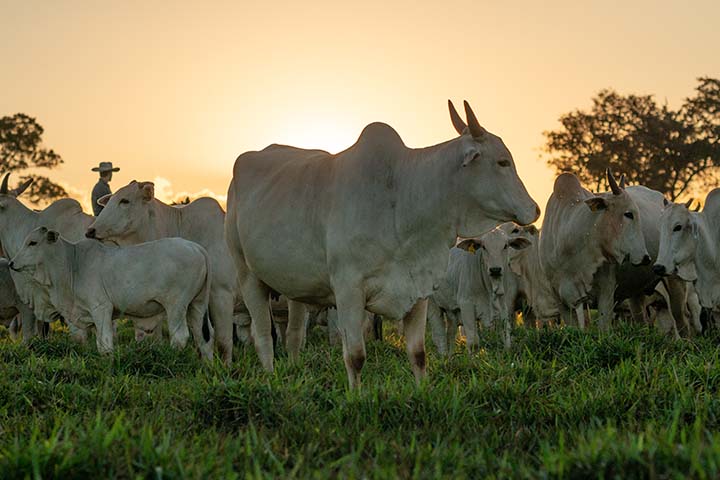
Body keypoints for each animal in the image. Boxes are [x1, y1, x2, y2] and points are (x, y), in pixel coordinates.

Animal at [9, 227, 214, 359]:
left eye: (33, 243)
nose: (11, 263)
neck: (72, 264)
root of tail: (198, 248)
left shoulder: (101, 308)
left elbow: (105, 344)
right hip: (197, 305)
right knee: (204, 338)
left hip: (176, 305)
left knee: (180, 337)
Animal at [428, 227, 531, 356]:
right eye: (484, 247)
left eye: (505, 246)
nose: (495, 270)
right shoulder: (466, 305)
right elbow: (473, 342)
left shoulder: (503, 305)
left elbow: (506, 335)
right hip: (433, 305)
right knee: (439, 336)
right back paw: (443, 357)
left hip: (451, 310)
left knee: (450, 333)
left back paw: (450, 357)